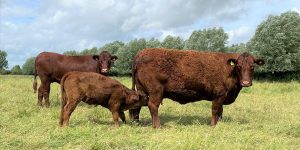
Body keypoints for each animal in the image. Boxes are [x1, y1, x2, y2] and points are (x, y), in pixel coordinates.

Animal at [130, 48, 264, 127]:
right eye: (238, 66)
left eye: (252, 66)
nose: (246, 82)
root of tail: (141, 53)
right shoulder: (219, 94)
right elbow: (215, 110)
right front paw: (213, 126)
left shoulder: (222, 96)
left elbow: (220, 111)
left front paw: (219, 123)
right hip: (156, 91)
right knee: (153, 106)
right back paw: (157, 126)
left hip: (142, 90)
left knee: (138, 106)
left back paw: (137, 122)